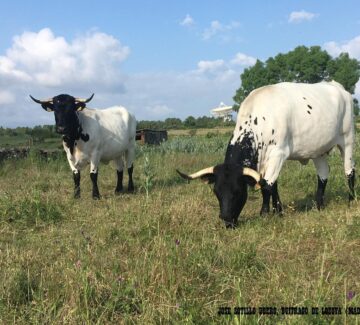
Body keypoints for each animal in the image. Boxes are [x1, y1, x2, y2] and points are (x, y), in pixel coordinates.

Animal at [177, 80, 354, 227]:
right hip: (318, 150)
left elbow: (267, 185)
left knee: (349, 171)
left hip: (348, 140)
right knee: (323, 175)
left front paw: (264, 214)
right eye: (216, 191)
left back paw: (351, 200)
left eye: (238, 191)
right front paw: (279, 211)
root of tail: (336, 85)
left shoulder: (278, 154)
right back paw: (319, 205)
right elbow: (273, 185)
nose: (226, 219)